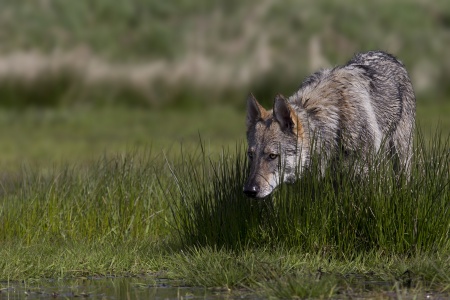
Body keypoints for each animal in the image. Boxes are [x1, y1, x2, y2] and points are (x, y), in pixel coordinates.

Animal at [244, 50, 416, 198]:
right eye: (251, 155)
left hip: (401, 155)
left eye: (273, 156)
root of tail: (388, 55)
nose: (249, 191)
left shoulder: (365, 175)